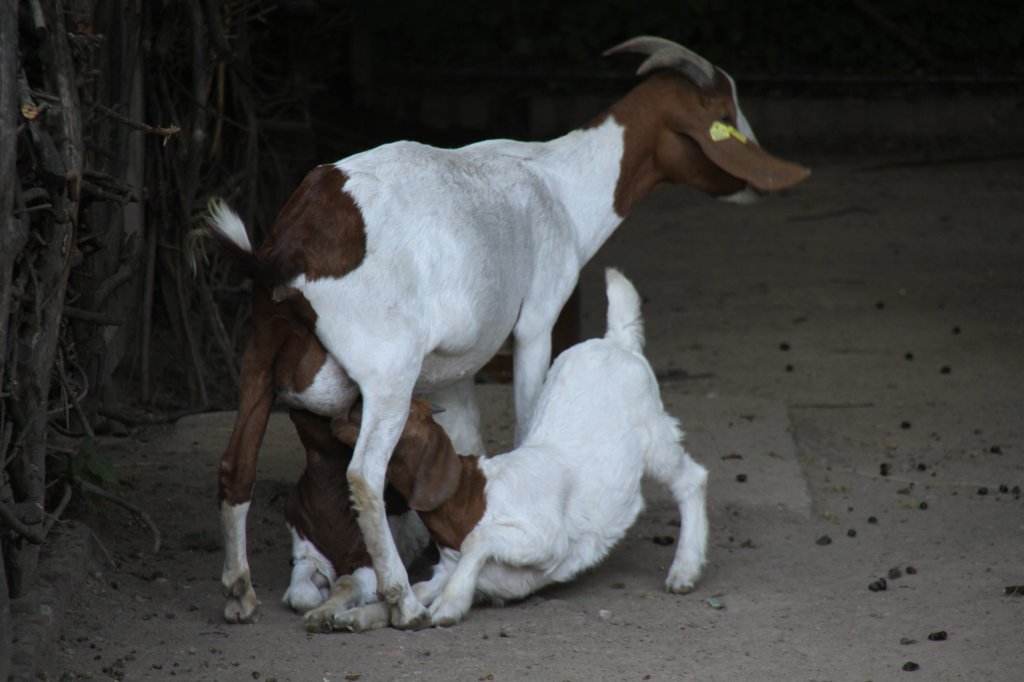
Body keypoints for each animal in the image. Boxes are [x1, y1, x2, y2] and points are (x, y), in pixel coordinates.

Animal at [299, 266, 708, 630]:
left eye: (404, 420)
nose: (344, 406)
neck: (474, 497)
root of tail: (615, 341)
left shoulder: (546, 539)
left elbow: (480, 540)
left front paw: (450, 606)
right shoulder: (445, 569)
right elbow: (420, 588)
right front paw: (352, 616)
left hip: (655, 438)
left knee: (691, 479)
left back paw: (684, 570)